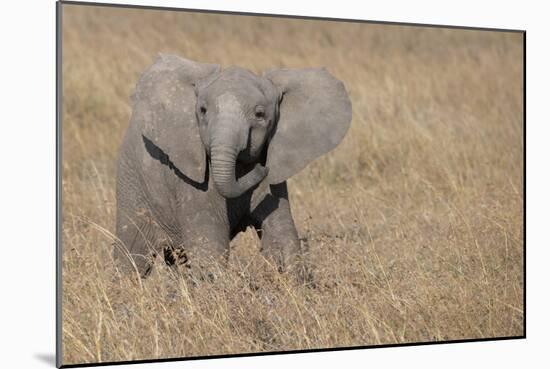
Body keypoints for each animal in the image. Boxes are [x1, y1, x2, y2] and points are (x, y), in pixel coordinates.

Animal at [113, 54, 352, 278]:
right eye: (202, 110)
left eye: (260, 114)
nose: (263, 169)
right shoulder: (190, 181)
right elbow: (209, 245)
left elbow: (282, 237)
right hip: (132, 182)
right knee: (133, 255)